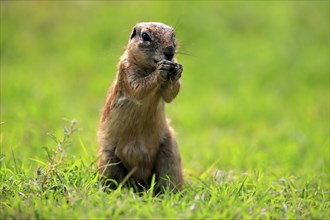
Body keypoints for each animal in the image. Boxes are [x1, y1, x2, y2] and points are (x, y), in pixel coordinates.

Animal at [96, 21, 184, 192]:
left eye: (174, 36)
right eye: (145, 36)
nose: (170, 52)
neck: (149, 68)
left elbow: (169, 95)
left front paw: (177, 69)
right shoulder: (126, 70)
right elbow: (138, 88)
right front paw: (161, 71)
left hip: (170, 154)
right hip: (109, 161)